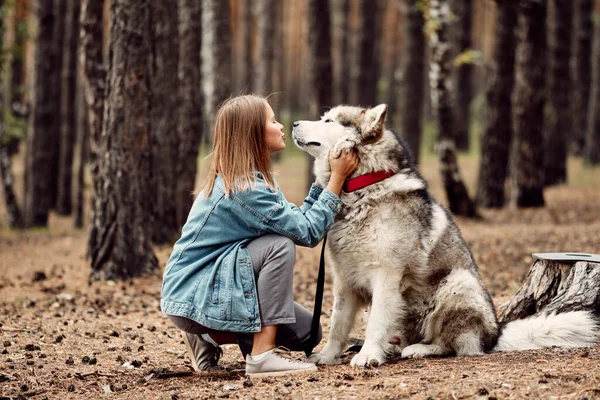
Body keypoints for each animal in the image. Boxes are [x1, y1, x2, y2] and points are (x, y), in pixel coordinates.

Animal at [290, 104, 596, 368]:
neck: (360, 189)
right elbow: (337, 326)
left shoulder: (386, 276)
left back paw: (420, 349)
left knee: (455, 346)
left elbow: (375, 321)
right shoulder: (344, 281)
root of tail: (495, 334)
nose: (292, 123)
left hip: (458, 284)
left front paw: (367, 356)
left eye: (328, 121)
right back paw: (396, 347)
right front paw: (327, 356)